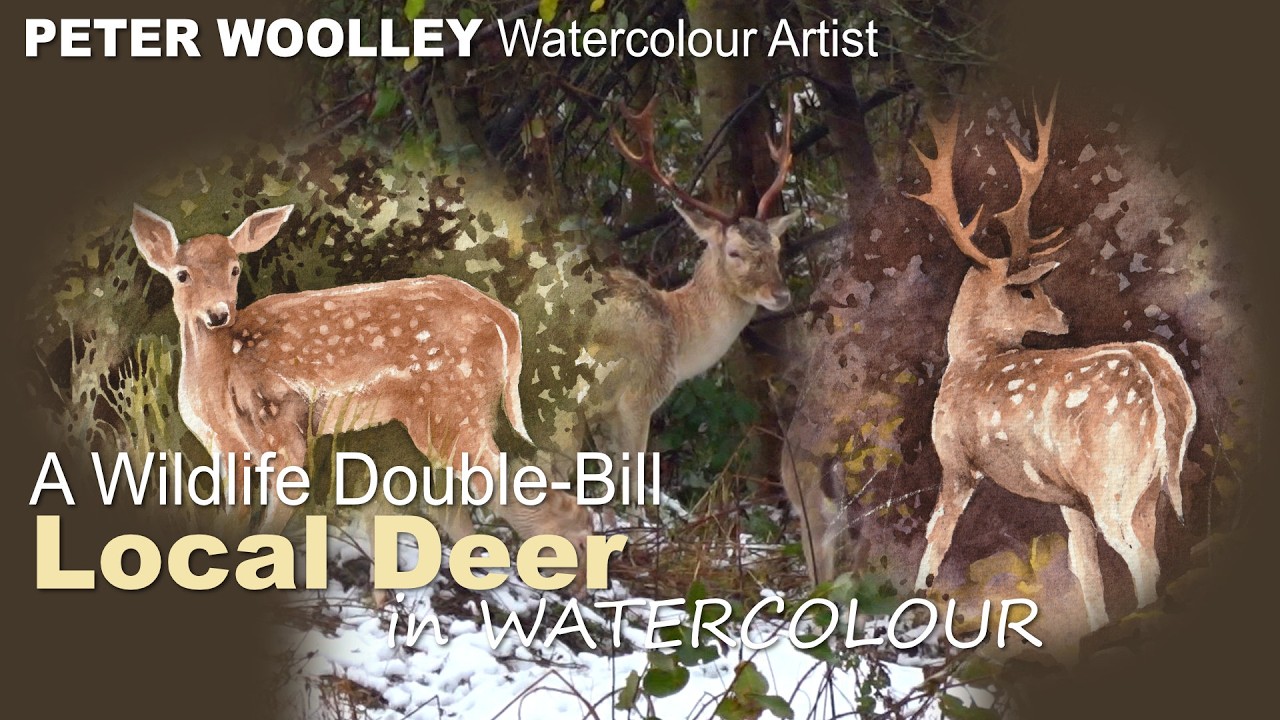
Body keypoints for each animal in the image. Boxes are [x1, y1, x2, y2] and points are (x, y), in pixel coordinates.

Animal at [128, 204, 592, 558]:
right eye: (182, 274)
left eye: (235, 269)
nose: (218, 314)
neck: (219, 372)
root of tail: (505, 317)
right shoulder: (225, 446)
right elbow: (231, 515)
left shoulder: (277, 422)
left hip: (453, 405)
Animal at [559, 97, 799, 511]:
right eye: (734, 252)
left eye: (777, 247)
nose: (780, 294)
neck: (678, 330)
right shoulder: (635, 396)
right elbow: (630, 480)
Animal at [908, 97, 1196, 631]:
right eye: (1028, 291)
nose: (1063, 318)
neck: (968, 362)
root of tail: (1157, 376)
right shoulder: (1068, 496)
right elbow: (1085, 569)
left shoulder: (955, 459)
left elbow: (935, 541)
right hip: (1150, 484)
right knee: (1152, 548)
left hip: (1111, 477)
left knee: (1141, 558)